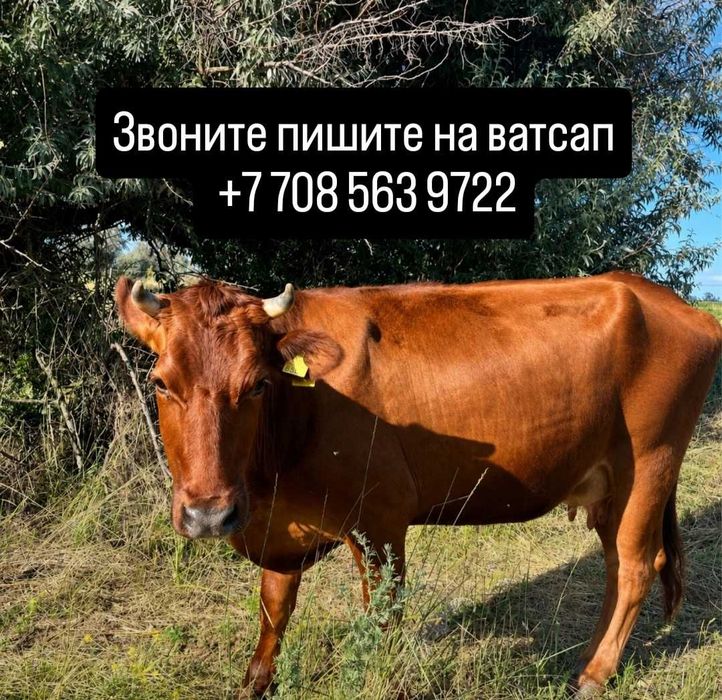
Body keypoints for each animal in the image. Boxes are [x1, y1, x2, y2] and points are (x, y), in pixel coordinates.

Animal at [115, 271, 721, 697]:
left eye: (258, 385)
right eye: (160, 382)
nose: (208, 516)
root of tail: (658, 296)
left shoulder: (380, 519)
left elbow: (384, 616)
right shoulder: (277, 527)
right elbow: (274, 605)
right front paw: (254, 684)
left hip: (651, 462)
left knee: (636, 565)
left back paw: (592, 676)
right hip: (613, 483)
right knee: (617, 564)